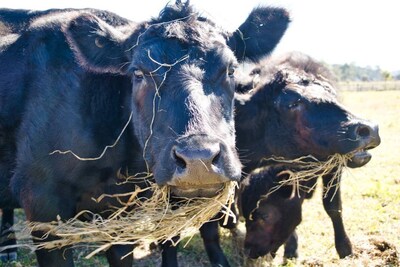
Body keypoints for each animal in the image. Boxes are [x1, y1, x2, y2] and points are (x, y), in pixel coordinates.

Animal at [236, 52, 380, 260]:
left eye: (264, 215)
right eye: (292, 103)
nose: (369, 130)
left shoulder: (334, 166)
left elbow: (332, 207)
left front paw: (345, 249)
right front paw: (291, 248)